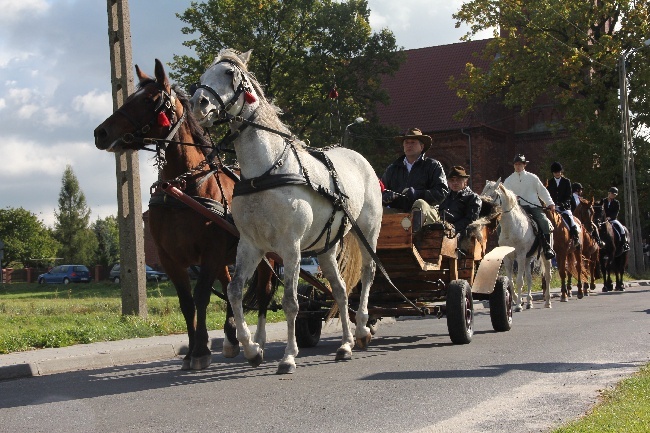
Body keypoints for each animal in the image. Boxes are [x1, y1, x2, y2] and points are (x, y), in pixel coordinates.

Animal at [92, 59, 274, 370]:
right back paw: (231, 338)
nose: (101, 133)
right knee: (230, 285)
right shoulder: (170, 258)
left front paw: (200, 350)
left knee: (263, 288)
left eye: (150, 100)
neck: (184, 187)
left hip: (266, 254)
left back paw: (256, 339)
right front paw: (191, 351)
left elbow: (201, 297)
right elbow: (187, 302)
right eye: (128, 98)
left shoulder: (210, 252)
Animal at [189, 49, 380, 372]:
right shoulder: (250, 245)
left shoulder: (291, 247)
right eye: (203, 75)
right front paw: (251, 348)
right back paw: (345, 345)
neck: (265, 171)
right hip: (326, 248)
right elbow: (235, 292)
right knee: (340, 291)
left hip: (367, 232)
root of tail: (359, 157)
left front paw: (289, 355)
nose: (198, 103)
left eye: (230, 73)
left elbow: (291, 302)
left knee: (368, 274)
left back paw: (362, 328)